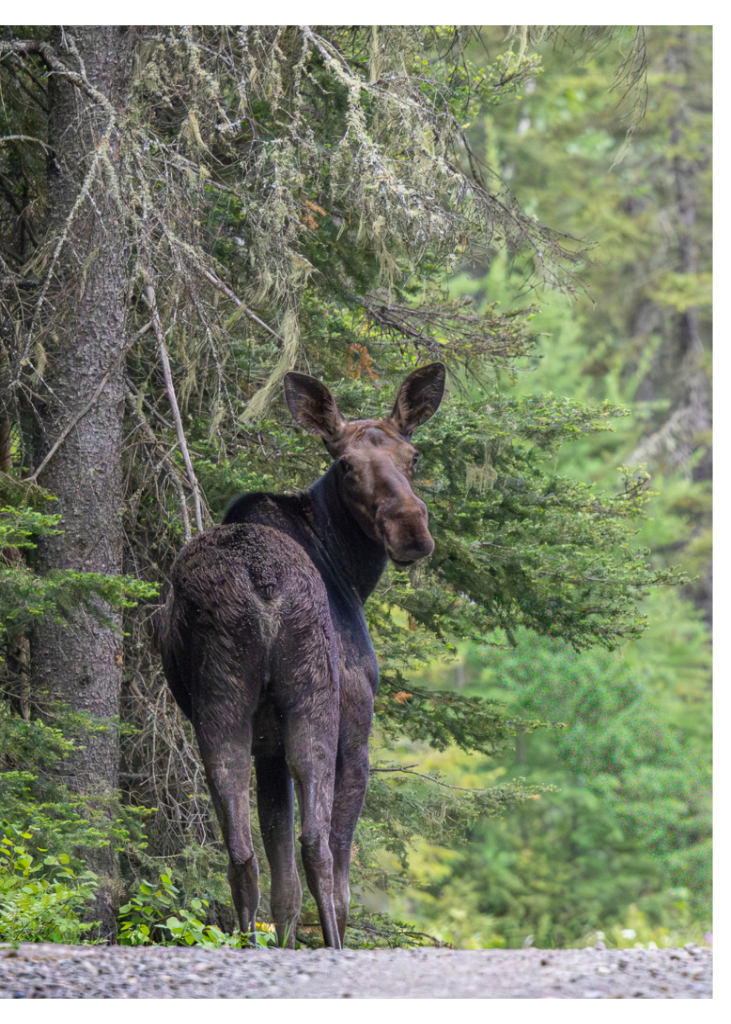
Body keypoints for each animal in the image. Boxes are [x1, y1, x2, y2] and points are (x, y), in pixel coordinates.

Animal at [156, 361, 445, 948]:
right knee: (319, 849)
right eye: (346, 465)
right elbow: (339, 874)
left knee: (242, 854)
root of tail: (262, 583)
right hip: (314, 701)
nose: (410, 529)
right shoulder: (355, 723)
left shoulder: (267, 746)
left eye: (414, 456)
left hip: (221, 707)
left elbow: (283, 882)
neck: (351, 571)